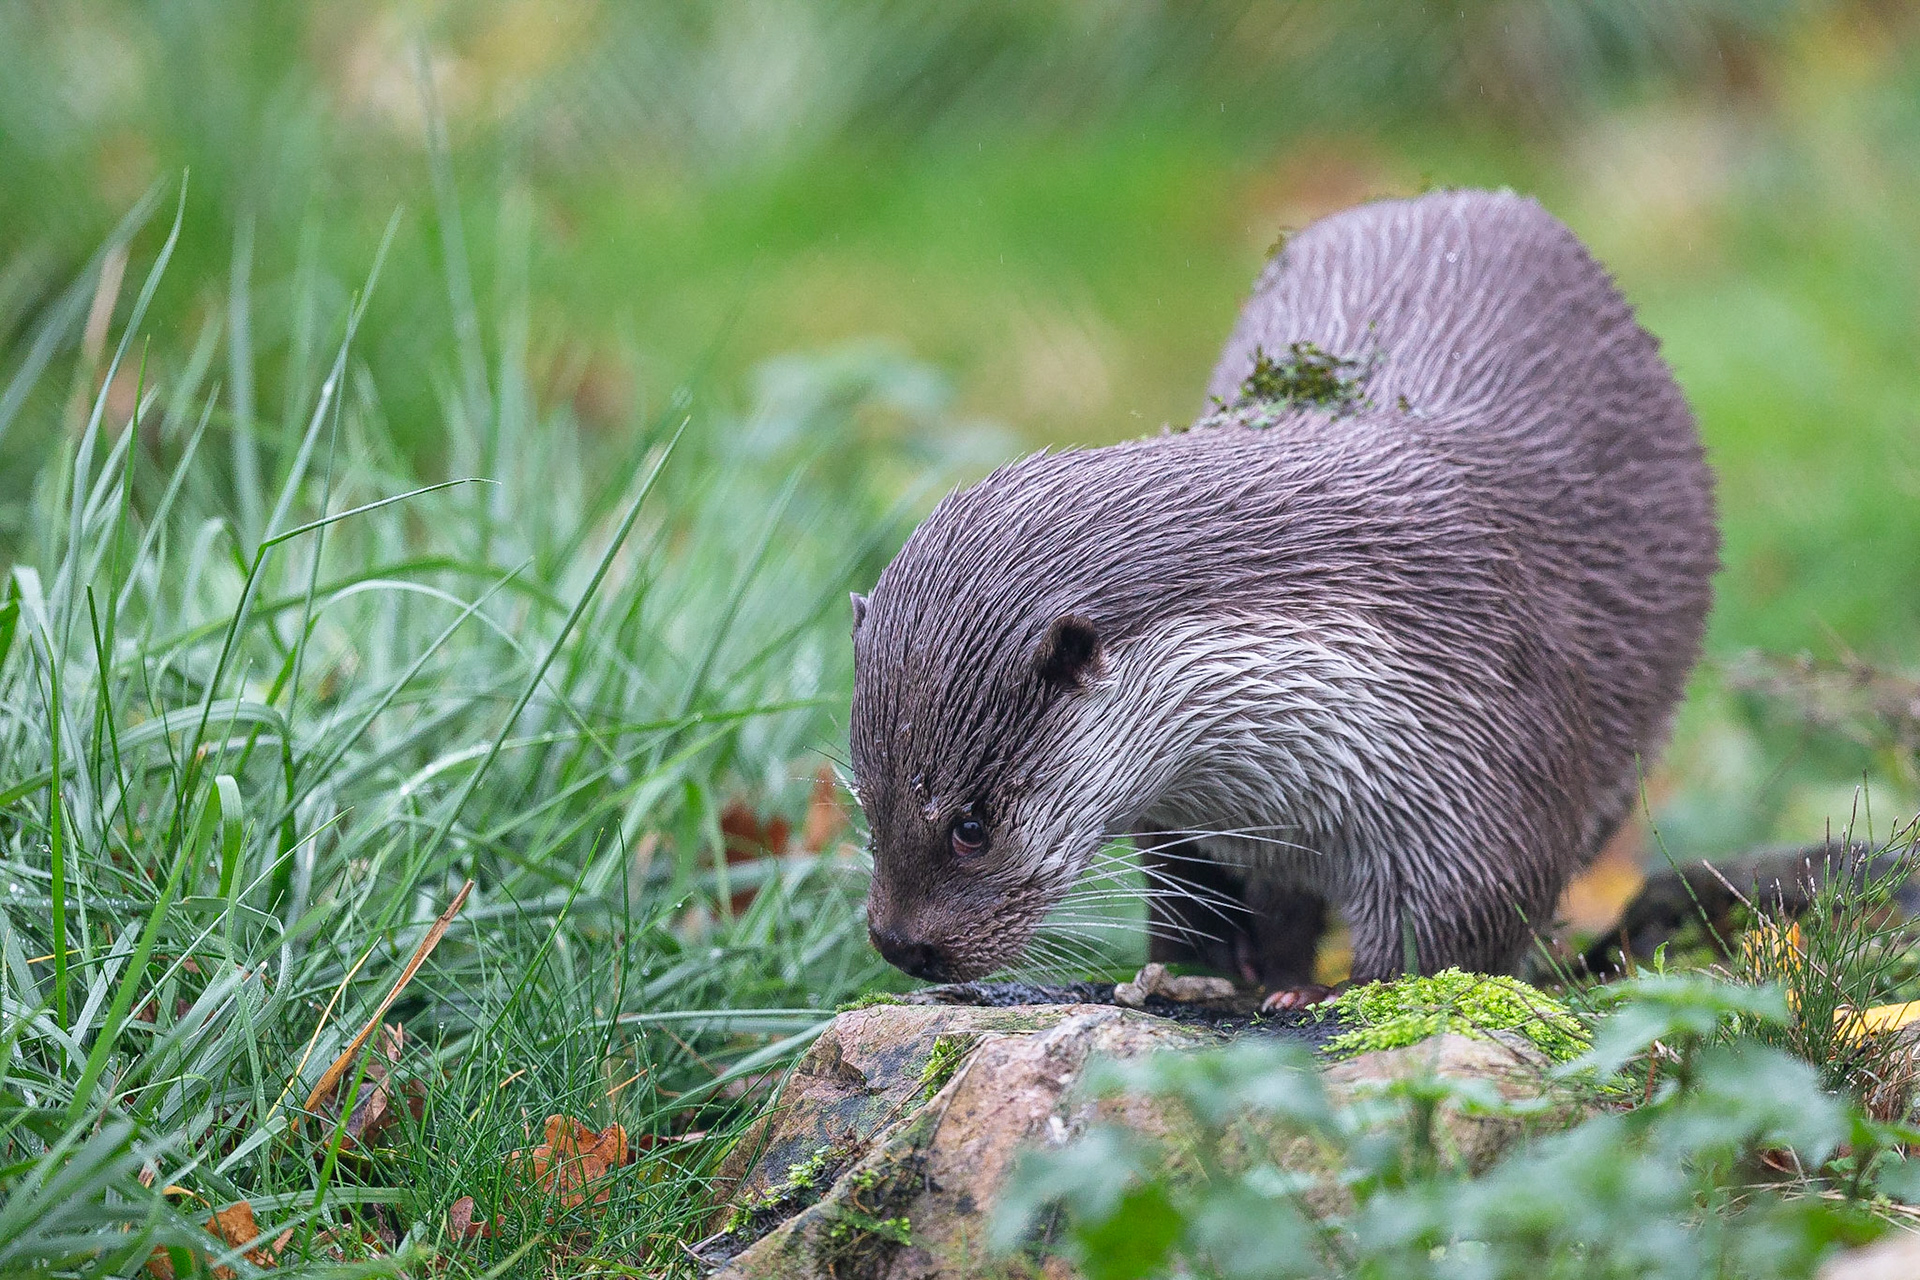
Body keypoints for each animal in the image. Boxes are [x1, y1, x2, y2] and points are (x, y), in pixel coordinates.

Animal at [848, 188, 1720, 997]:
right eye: (864, 797)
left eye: (970, 825)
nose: (900, 945)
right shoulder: (1190, 820)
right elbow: (1193, 901)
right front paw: (1214, 973)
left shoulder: (1483, 756)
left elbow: (1457, 928)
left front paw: (1323, 996)